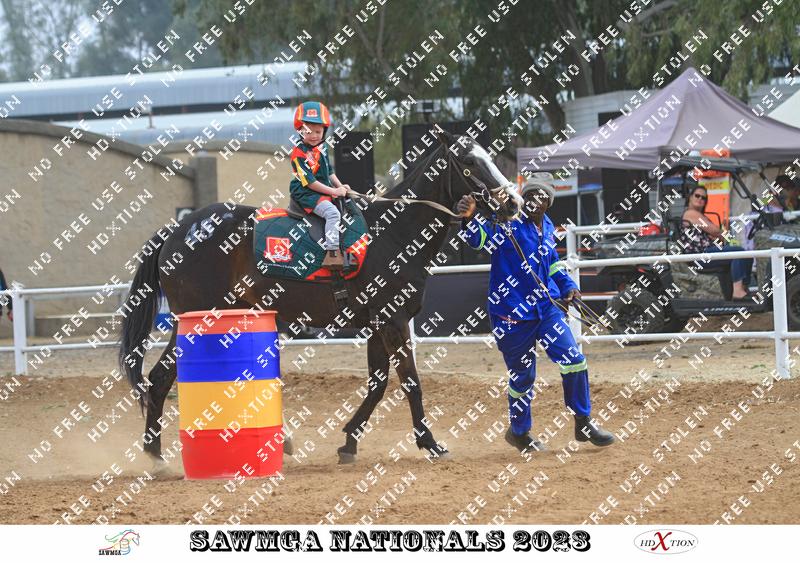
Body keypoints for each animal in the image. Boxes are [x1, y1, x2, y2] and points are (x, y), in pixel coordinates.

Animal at [118, 127, 522, 466]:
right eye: (469, 162)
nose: (513, 203)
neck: (394, 233)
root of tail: (179, 229)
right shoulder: (392, 321)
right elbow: (410, 381)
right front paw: (430, 443)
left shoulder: (376, 325)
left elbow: (378, 385)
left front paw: (349, 442)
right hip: (200, 320)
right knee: (161, 378)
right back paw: (156, 456)